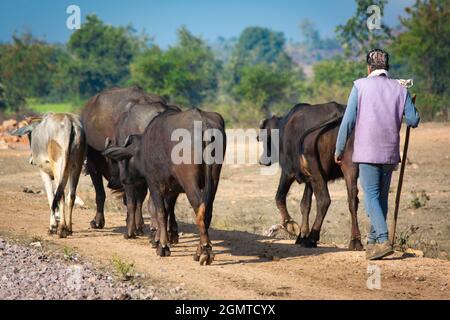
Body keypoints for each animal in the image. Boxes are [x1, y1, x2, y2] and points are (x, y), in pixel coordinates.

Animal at [103, 108, 227, 264]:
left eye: (123, 160)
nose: (122, 179)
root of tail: (203, 123)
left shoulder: (155, 185)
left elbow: (160, 212)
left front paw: (162, 246)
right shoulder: (172, 190)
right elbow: (167, 210)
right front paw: (161, 239)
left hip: (189, 182)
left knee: (199, 208)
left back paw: (205, 251)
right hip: (214, 179)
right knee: (207, 211)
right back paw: (200, 251)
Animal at [258, 102, 364, 250]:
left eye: (264, 138)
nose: (262, 161)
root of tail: (338, 113)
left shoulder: (288, 172)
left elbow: (280, 197)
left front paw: (291, 226)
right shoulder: (309, 180)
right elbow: (305, 205)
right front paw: (301, 236)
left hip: (317, 173)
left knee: (324, 200)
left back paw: (312, 238)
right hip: (349, 168)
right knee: (352, 200)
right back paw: (355, 241)